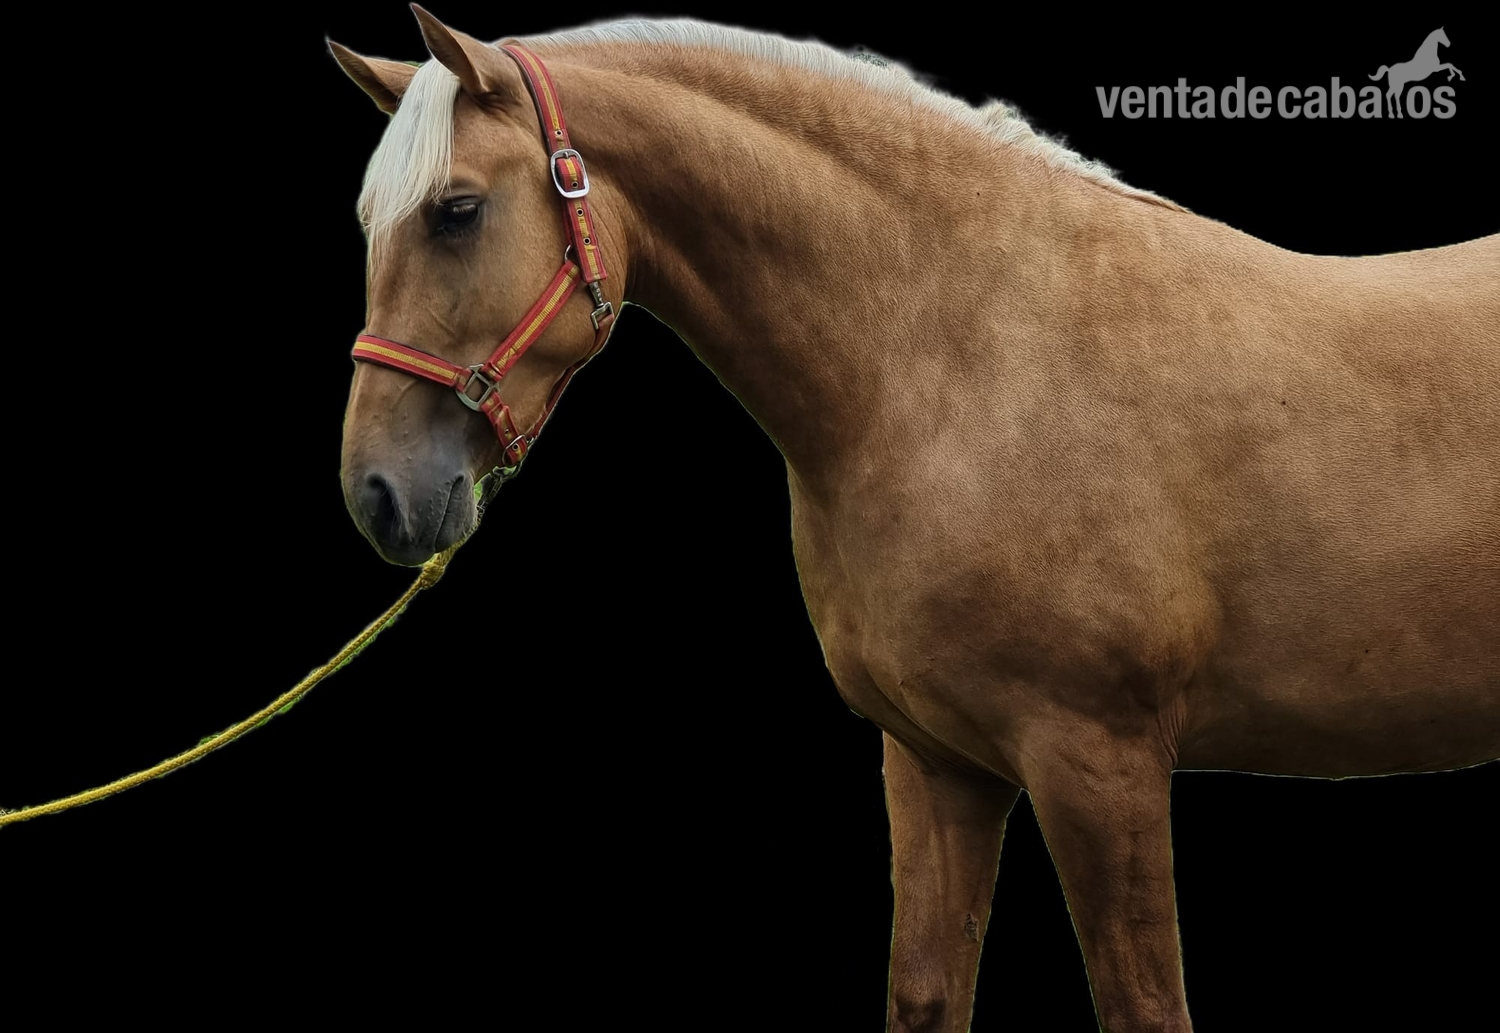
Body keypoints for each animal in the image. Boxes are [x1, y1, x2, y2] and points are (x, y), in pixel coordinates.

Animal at [329, 11, 1500, 1032]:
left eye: (456, 210)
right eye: (372, 223)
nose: (376, 492)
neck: (965, 351)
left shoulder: (1101, 763)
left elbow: (1144, 1007)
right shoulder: (937, 762)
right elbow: (927, 997)